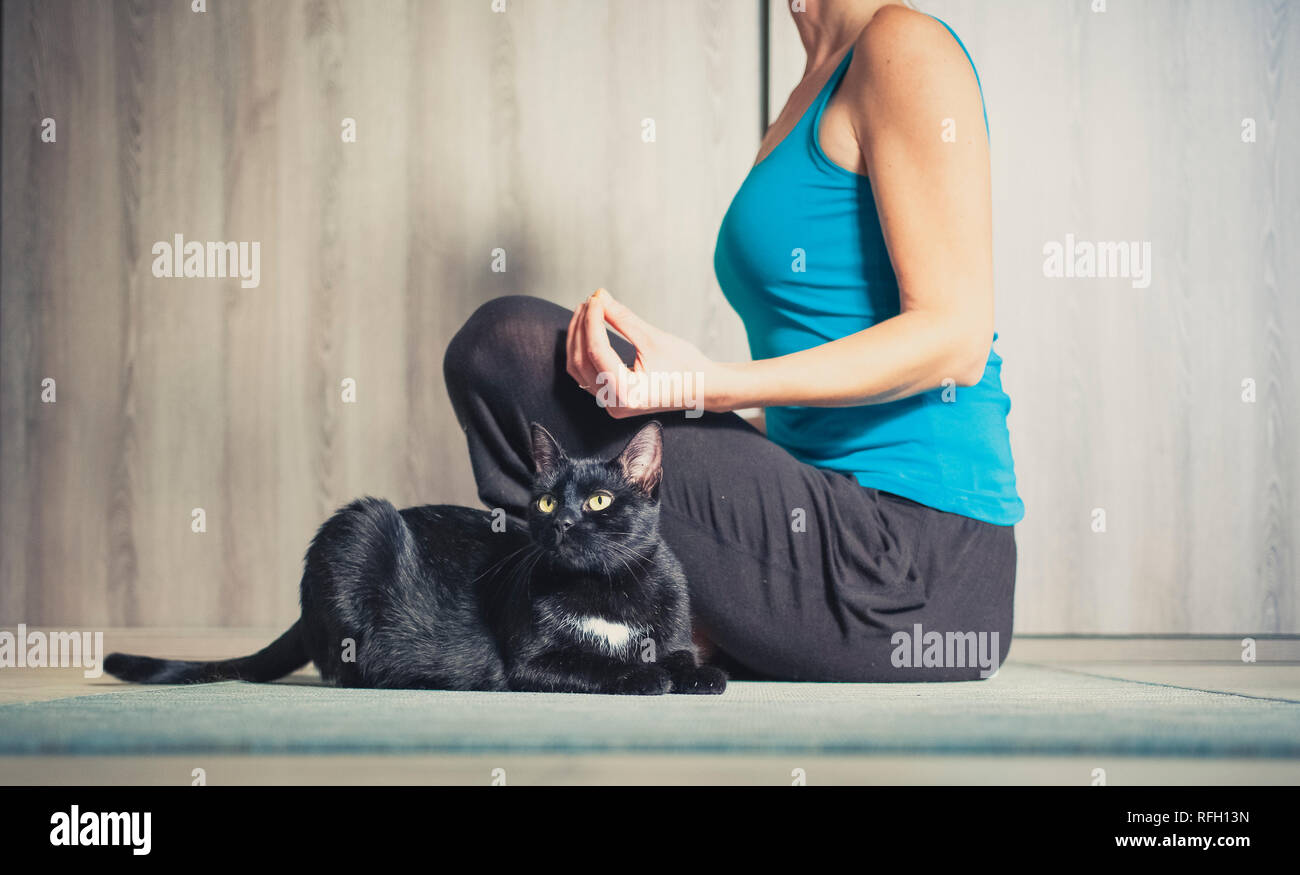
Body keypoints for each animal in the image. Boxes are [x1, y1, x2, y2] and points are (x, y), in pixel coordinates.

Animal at [104, 423, 722, 696]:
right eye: (547, 501)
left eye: (598, 501)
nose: (563, 522)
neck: (606, 589)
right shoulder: (529, 663)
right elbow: (599, 666)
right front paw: (643, 676)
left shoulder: (672, 629)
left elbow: (686, 660)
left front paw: (696, 674)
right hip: (357, 528)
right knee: (349, 669)